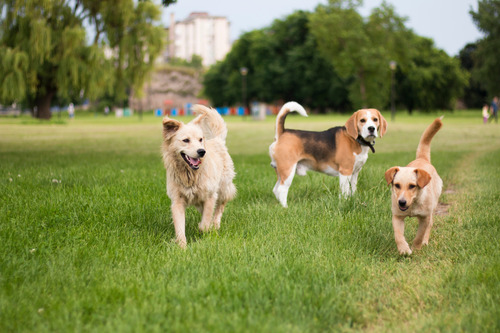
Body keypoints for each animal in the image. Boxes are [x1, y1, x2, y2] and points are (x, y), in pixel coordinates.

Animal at [162, 104, 236, 246]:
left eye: (200, 139)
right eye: (186, 140)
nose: (202, 151)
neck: (190, 174)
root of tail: (217, 140)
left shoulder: (210, 196)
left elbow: (204, 224)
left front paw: (206, 231)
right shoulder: (177, 201)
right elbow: (180, 227)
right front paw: (182, 246)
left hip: (223, 188)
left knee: (220, 207)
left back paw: (216, 224)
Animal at [384, 116, 444, 254]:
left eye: (412, 186)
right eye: (397, 185)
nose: (401, 202)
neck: (413, 204)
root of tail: (422, 159)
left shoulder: (425, 218)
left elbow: (419, 235)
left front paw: (416, 248)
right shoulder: (397, 216)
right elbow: (398, 235)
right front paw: (404, 250)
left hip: (433, 207)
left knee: (429, 226)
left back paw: (425, 242)